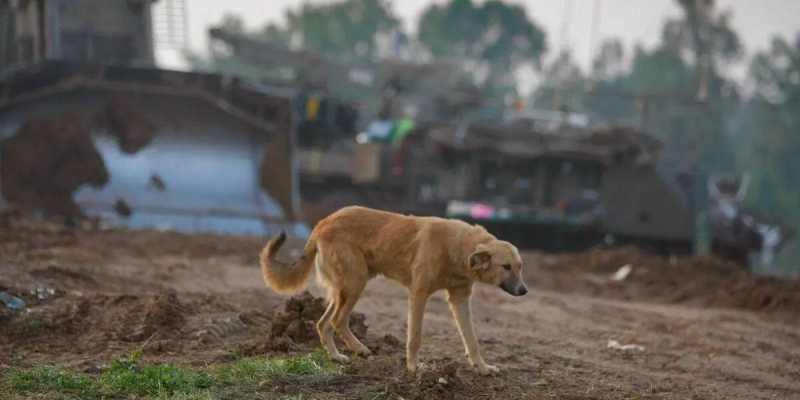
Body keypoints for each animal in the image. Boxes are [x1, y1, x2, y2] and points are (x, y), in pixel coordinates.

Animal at [260, 206, 528, 376]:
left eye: (519, 266)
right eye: (506, 267)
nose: (524, 291)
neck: (458, 248)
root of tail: (323, 222)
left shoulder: (460, 300)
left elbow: (472, 340)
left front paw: (481, 368)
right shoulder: (418, 294)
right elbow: (415, 337)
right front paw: (413, 369)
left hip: (345, 288)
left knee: (323, 323)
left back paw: (338, 357)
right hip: (355, 284)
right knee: (336, 321)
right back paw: (357, 349)